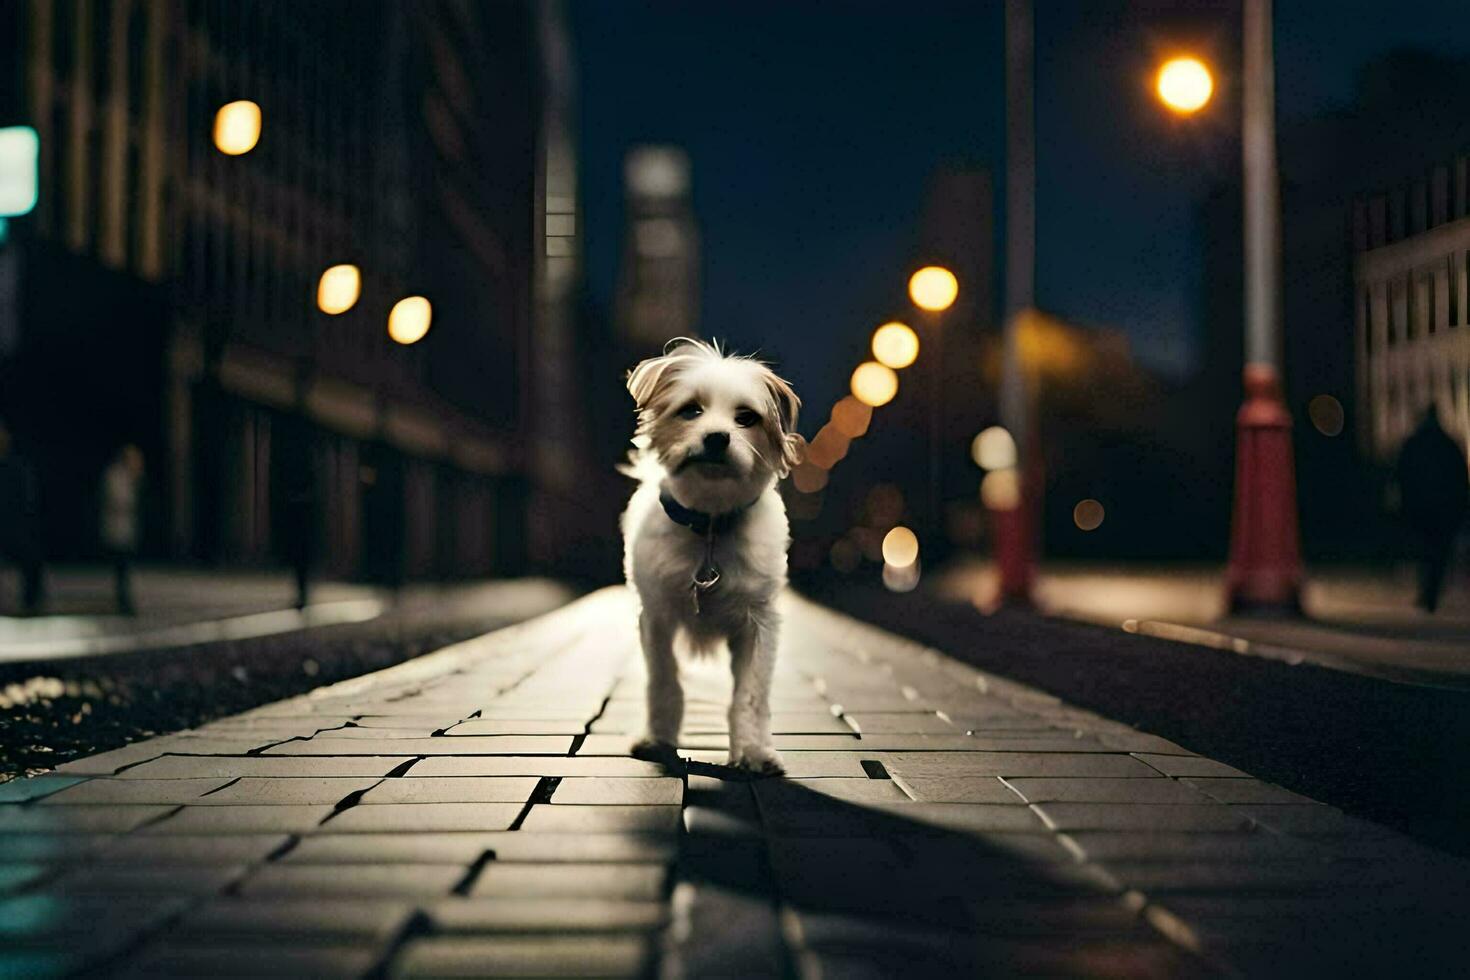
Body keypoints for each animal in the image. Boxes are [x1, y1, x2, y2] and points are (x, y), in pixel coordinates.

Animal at [620, 337, 805, 775]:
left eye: (747, 418)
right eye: (691, 410)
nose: (718, 437)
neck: (708, 527)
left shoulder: (759, 625)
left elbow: (750, 697)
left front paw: (753, 751)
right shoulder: (656, 617)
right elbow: (664, 681)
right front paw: (658, 739)